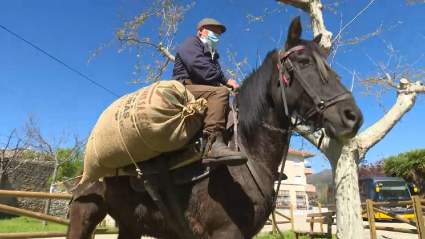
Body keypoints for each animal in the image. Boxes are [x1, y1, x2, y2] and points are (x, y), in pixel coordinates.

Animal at [66, 15, 362, 238]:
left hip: (131, 224)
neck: (249, 152)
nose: (353, 116)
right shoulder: (225, 232)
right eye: (304, 62)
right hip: (84, 213)